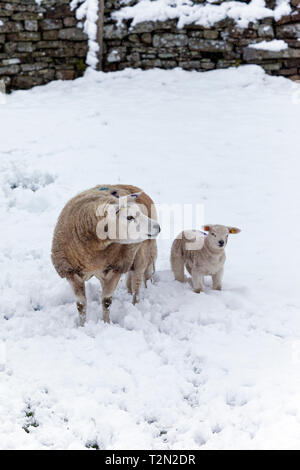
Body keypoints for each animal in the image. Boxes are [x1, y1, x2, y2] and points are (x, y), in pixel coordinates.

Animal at [51, 185, 161, 326]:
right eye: (129, 217)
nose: (158, 227)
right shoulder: (70, 272)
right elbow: (81, 305)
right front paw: (82, 325)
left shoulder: (115, 268)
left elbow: (106, 301)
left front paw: (106, 324)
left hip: (142, 254)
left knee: (138, 282)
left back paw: (135, 305)